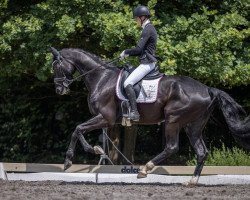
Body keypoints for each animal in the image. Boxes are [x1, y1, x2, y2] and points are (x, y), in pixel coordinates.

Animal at [49, 47, 249, 186]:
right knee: (201, 151)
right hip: (193, 125)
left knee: (172, 147)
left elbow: (77, 129)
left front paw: (71, 160)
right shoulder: (107, 121)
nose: (59, 89)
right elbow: (81, 130)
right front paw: (96, 149)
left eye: (56, 66)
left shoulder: (106, 117)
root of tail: (207, 89)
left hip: (173, 120)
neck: (102, 77)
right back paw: (191, 182)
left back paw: (145, 169)